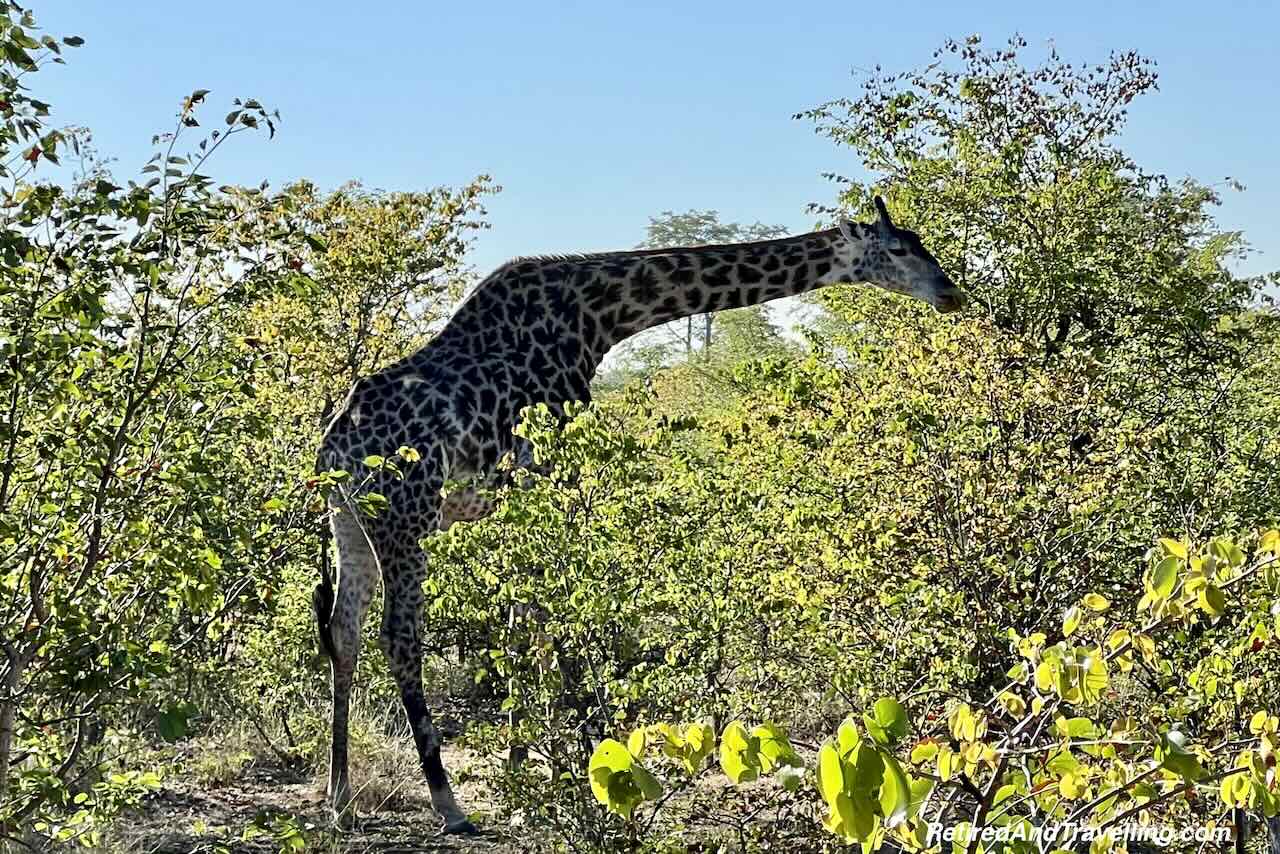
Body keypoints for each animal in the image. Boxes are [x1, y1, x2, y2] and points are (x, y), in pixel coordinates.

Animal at [314, 197, 962, 829]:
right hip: (408, 517)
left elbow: (522, 626)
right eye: (898, 249)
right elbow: (551, 620)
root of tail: (333, 449)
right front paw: (570, 765)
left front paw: (527, 764)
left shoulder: (520, 495)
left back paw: (340, 798)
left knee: (344, 632)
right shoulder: (552, 473)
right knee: (400, 638)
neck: (600, 317)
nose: (951, 292)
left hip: (351, 522)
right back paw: (447, 804)